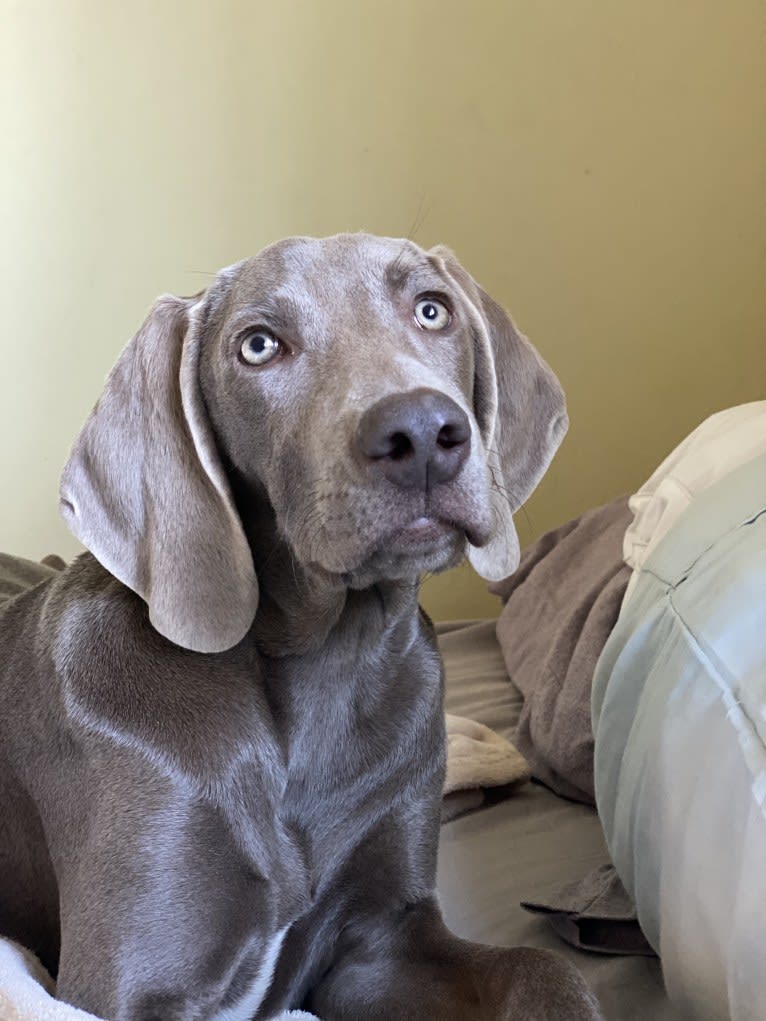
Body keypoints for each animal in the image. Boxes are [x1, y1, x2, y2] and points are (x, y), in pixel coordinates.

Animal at [0, 234, 604, 1016]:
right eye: (258, 346)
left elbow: (545, 966)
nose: (422, 433)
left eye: (432, 309)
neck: (324, 661)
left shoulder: (380, 938)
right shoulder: (132, 983)